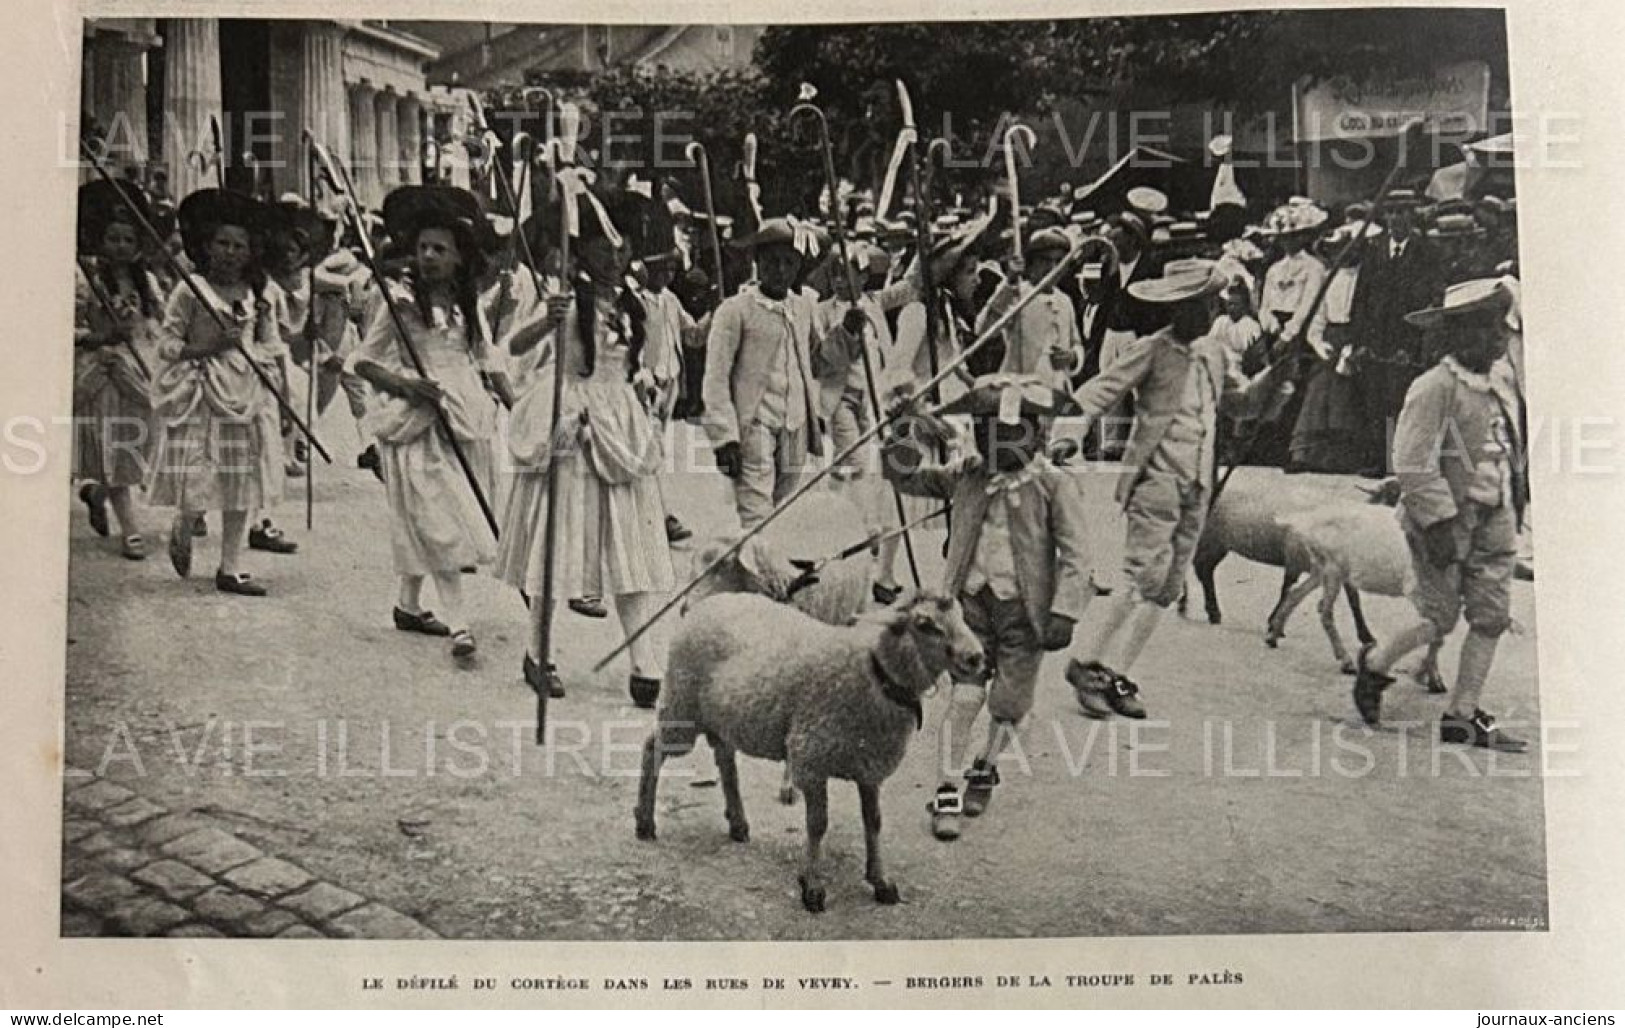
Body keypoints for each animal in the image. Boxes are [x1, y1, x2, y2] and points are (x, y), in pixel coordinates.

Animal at [637, 587, 981, 909]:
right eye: (925, 624)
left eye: (963, 615)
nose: (976, 657)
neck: (874, 673)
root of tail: (709, 601)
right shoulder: (811, 758)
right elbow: (818, 825)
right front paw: (813, 886)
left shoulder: (869, 768)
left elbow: (873, 823)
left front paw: (880, 881)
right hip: (681, 705)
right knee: (652, 749)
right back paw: (644, 822)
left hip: (722, 716)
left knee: (725, 758)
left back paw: (737, 823)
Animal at [1267, 500, 1449, 688]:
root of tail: (1305, 521)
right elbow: (1437, 633)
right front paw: (1432, 678)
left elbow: (1438, 634)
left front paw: (1432, 677)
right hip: (1333, 569)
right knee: (1325, 614)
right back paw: (1346, 662)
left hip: (1321, 569)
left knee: (1295, 594)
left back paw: (1274, 636)